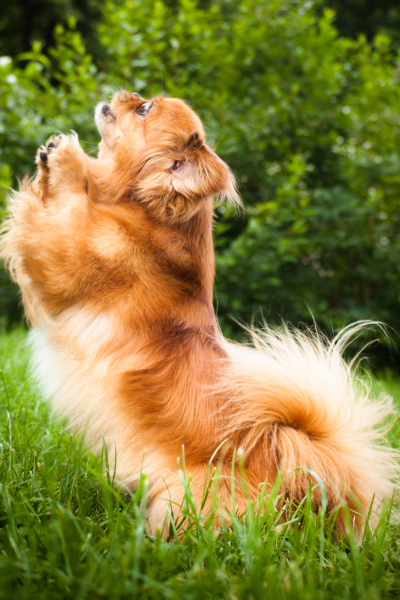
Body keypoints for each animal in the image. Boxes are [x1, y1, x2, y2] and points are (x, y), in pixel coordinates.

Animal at [1, 91, 398, 536]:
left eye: (143, 109)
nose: (124, 94)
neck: (140, 211)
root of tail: (306, 488)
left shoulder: (64, 258)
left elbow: (63, 210)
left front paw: (67, 158)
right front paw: (51, 163)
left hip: (182, 497)